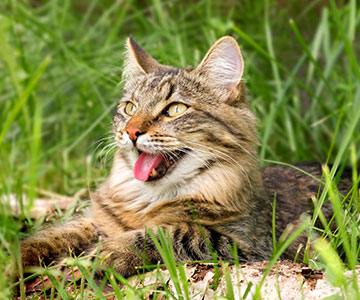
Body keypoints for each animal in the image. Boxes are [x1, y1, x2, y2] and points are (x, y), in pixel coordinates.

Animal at [19, 36, 352, 278]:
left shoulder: (249, 245)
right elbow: (51, 235)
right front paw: (15, 261)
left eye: (174, 110)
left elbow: (170, 233)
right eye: (129, 107)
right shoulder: (94, 220)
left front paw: (104, 255)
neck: (148, 200)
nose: (131, 132)